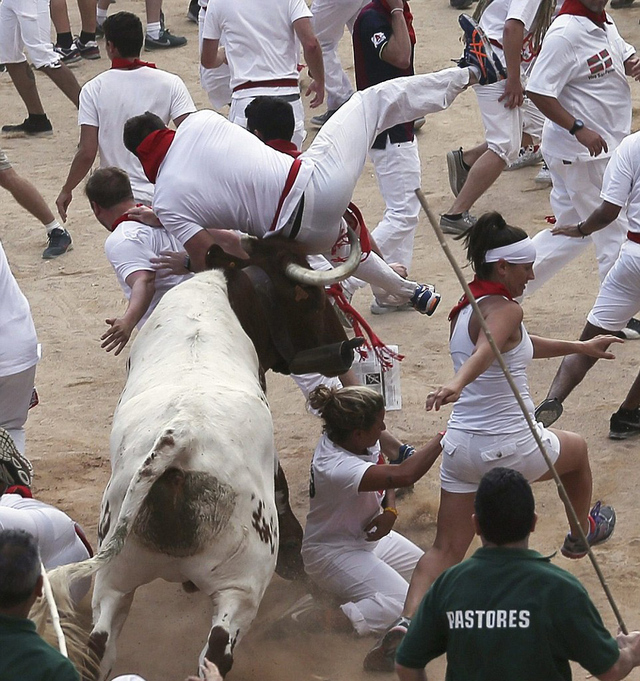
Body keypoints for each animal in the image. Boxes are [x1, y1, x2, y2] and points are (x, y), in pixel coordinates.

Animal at [46, 231, 360, 676]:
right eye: (313, 300)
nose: (347, 345)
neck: (219, 292)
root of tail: (179, 440)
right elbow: (293, 540)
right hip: (239, 590)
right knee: (215, 655)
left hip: (113, 582)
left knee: (99, 646)